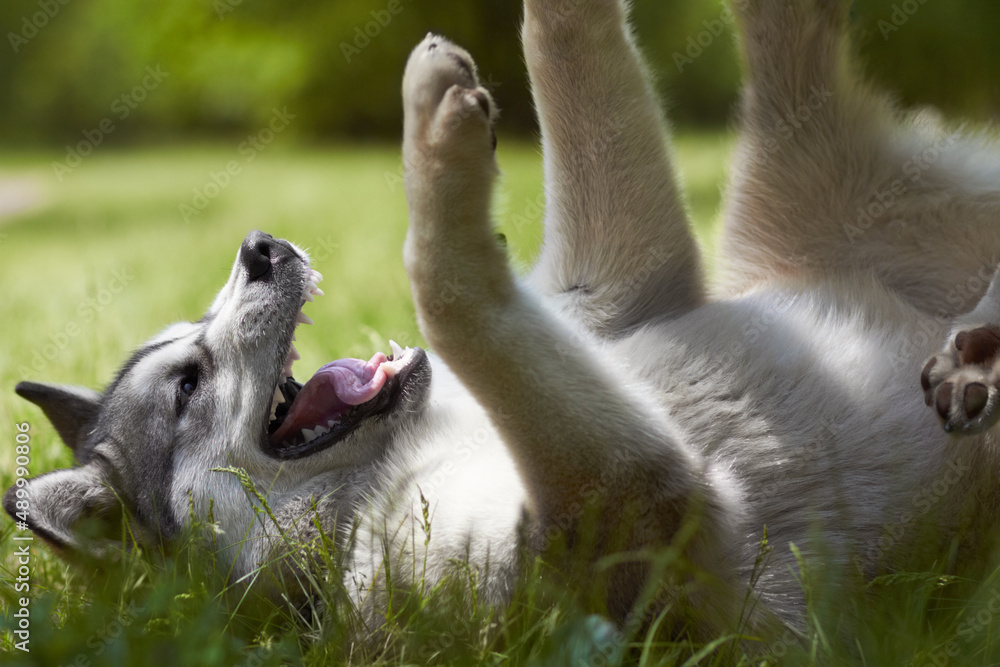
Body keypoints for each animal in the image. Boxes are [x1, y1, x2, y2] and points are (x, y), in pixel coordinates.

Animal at [5, 0, 1000, 640]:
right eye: (187, 384)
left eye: (195, 330)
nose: (260, 246)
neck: (386, 465)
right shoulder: (638, 514)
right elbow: (445, 289)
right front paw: (435, 138)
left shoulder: (611, 291)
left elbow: (557, 53)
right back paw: (978, 360)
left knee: (787, 40)